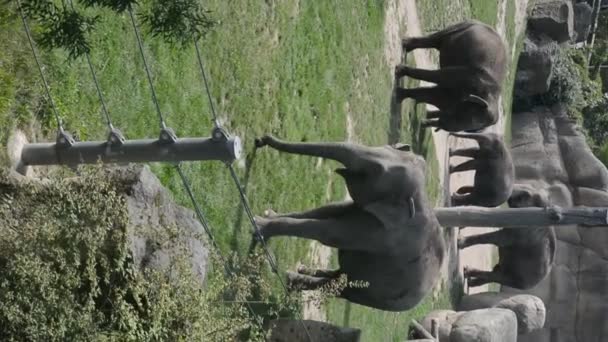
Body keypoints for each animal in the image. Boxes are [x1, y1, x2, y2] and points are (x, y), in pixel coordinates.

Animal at [249, 135, 444, 312]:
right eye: (385, 147)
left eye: (377, 170)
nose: (260, 140)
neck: (422, 197)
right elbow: (327, 210)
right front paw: (268, 214)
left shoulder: (384, 236)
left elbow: (327, 232)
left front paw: (258, 225)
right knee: (339, 275)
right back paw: (303, 270)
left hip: (380, 296)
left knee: (340, 288)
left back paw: (290, 278)